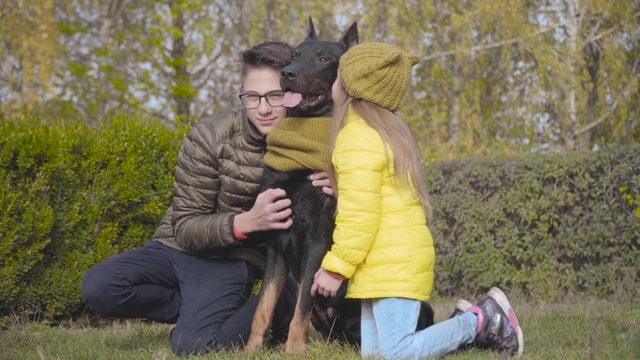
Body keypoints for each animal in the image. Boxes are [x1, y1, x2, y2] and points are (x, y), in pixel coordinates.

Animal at [245, 18, 436, 352]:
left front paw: (293, 350)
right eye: (294, 55)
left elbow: (301, 306)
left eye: (323, 59)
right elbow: (264, 306)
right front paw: (251, 349)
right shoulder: (276, 241)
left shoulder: (317, 239)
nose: (287, 73)